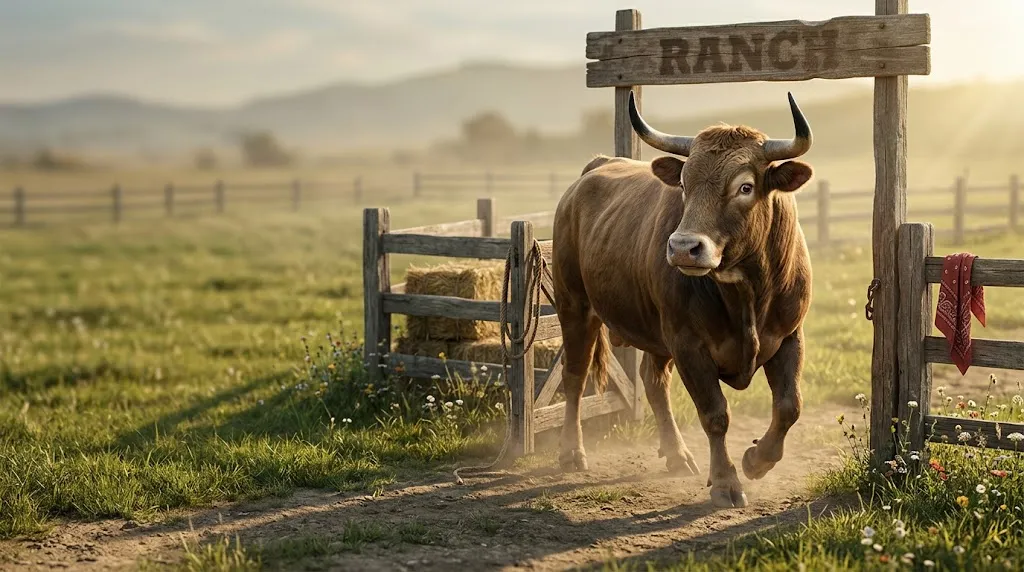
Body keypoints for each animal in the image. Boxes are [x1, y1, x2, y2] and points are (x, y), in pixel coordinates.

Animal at [550, 91, 814, 508]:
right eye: (685, 184)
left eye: (745, 187)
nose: (683, 247)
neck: (746, 295)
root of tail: (597, 168)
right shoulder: (688, 344)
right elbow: (715, 414)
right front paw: (725, 481)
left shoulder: (789, 336)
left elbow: (789, 407)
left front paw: (757, 460)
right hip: (575, 306)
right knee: (575, 376)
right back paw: (572, 452)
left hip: (654, 330)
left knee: (654, 382)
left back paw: (676, 454)